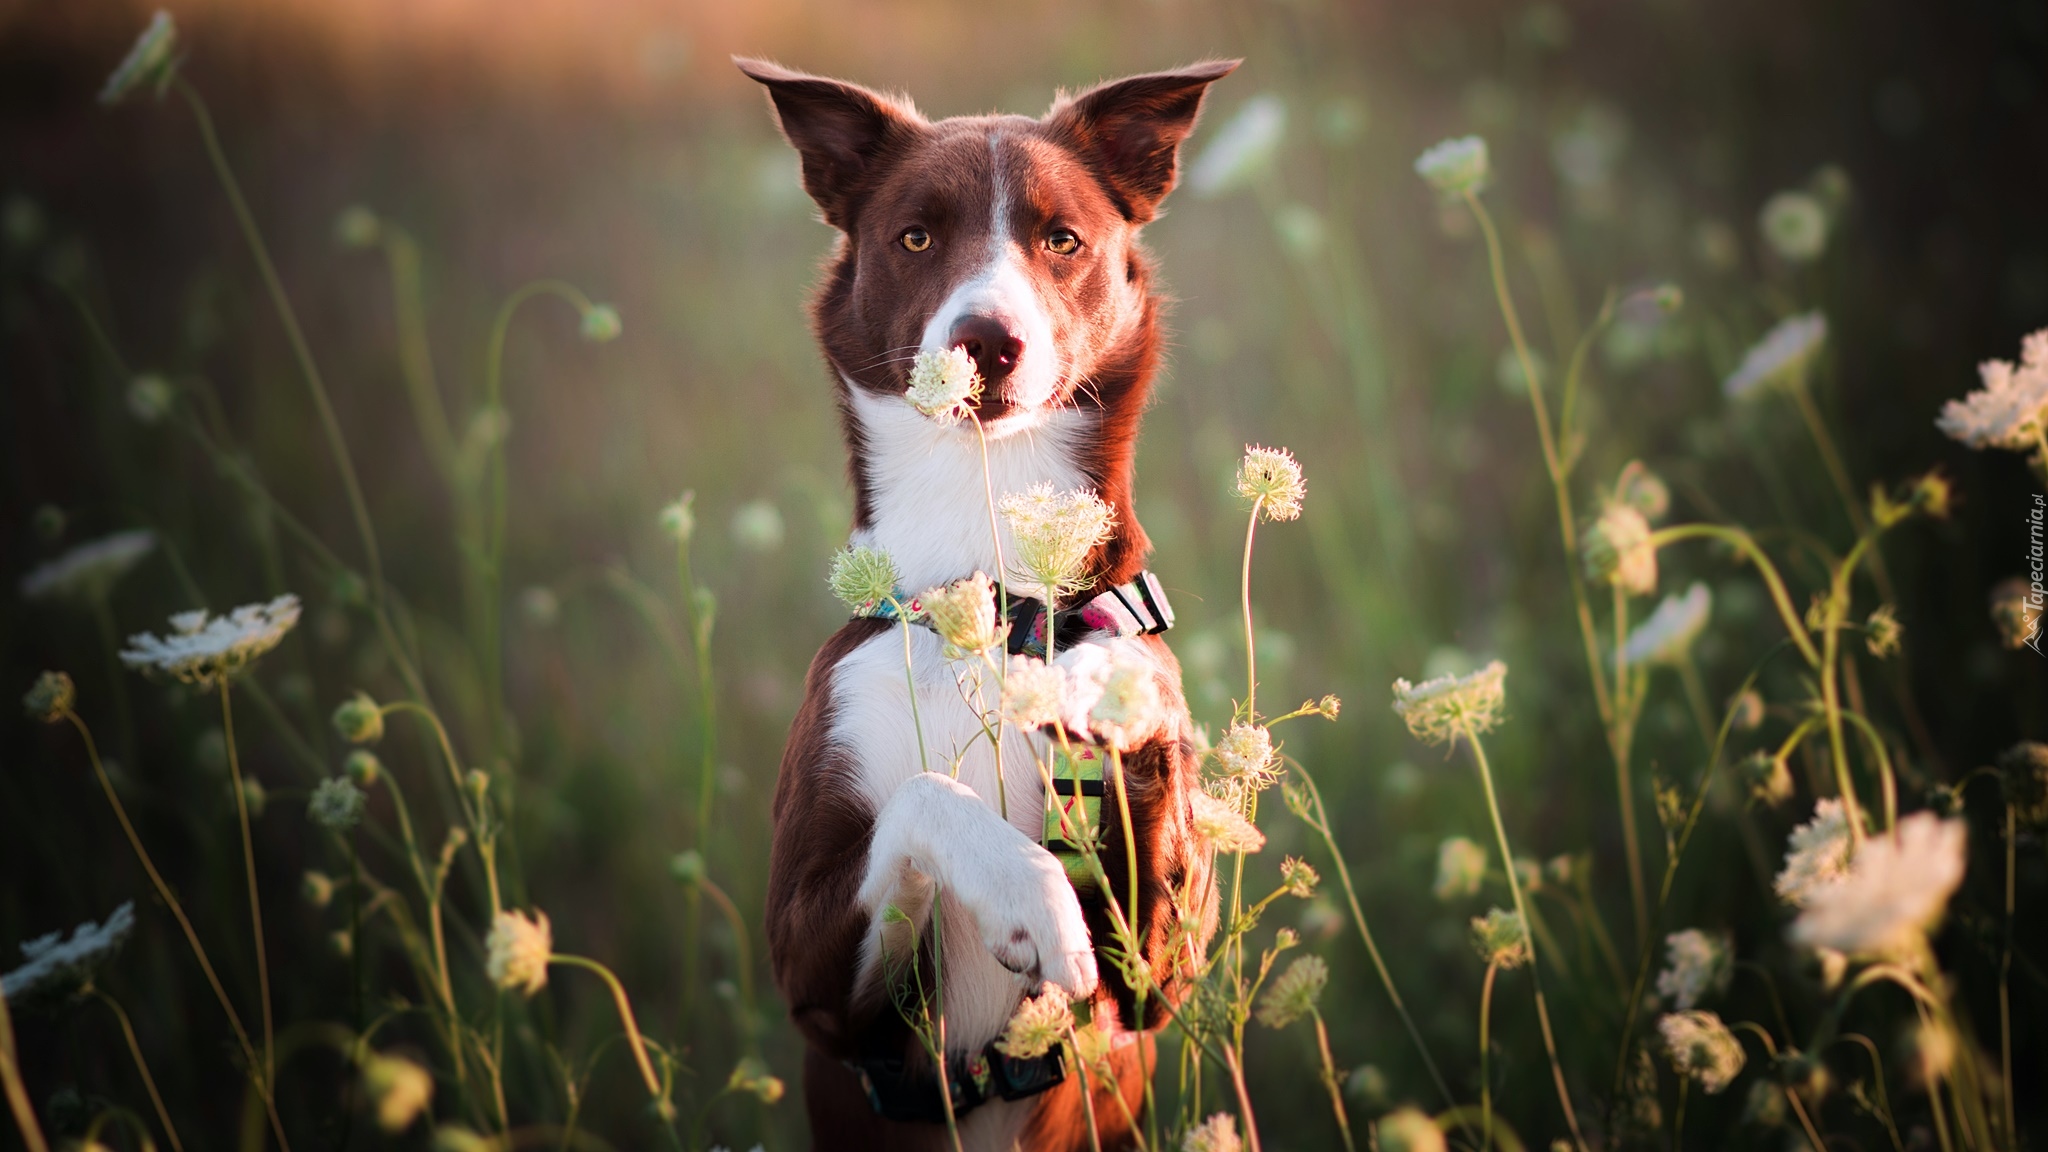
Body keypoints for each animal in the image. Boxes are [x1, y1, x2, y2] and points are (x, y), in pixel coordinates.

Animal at [745, 60, 1236, 1147]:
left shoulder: (1159, 981)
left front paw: (1104, 685)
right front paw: (1026, 894)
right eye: (915, 238)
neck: (989, 602)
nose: (987, 340)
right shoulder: (814, 982)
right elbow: (929, 795)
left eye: (1062, 240)